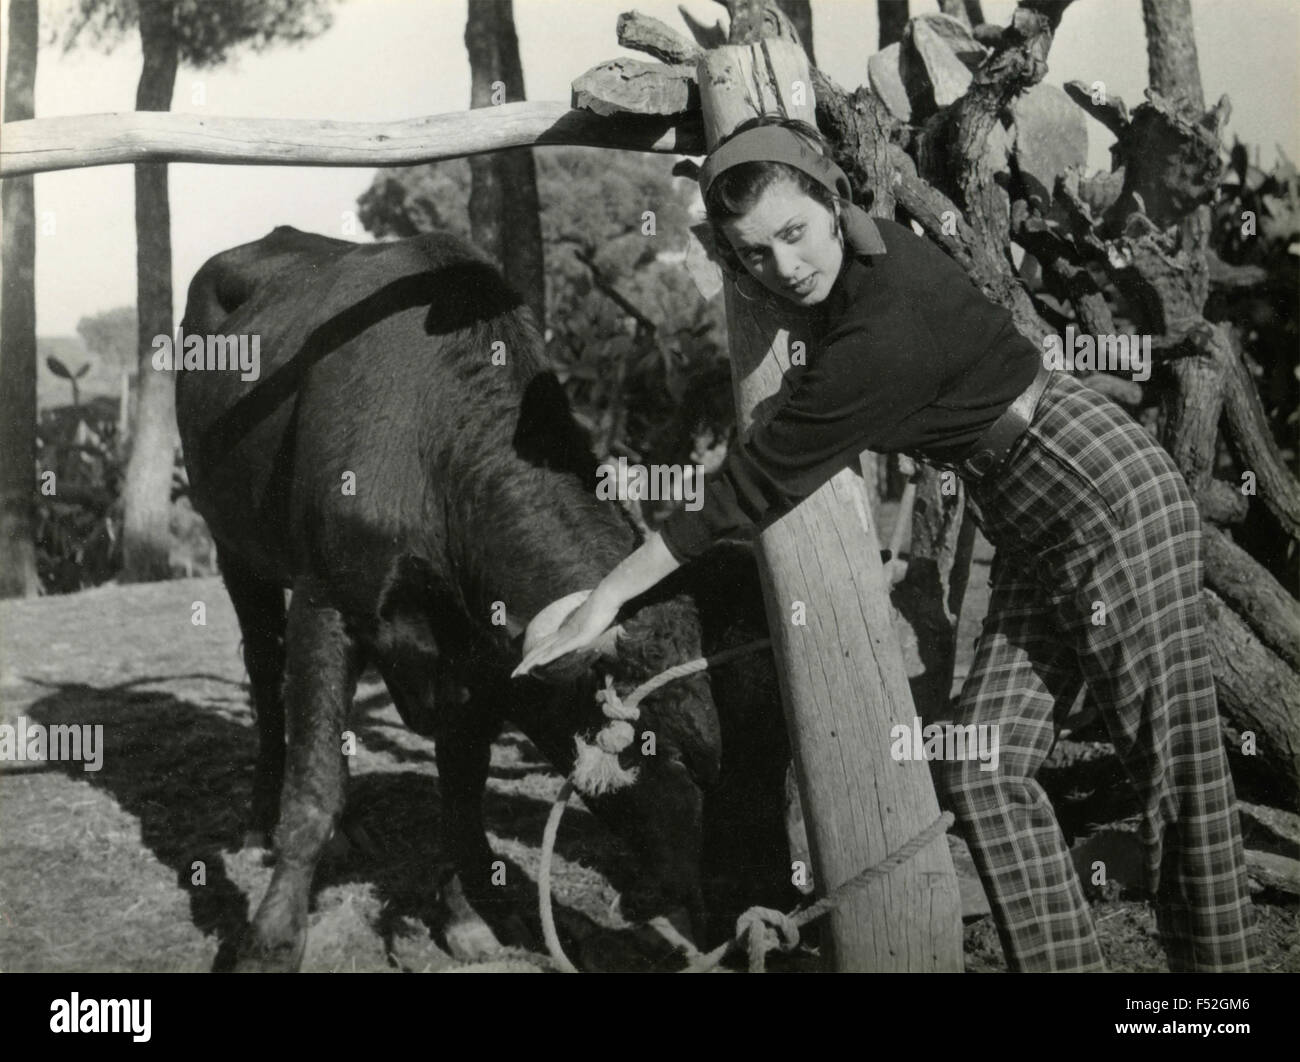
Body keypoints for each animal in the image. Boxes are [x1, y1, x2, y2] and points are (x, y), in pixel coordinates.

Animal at [179, 226, 795, 967]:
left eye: (783, 758)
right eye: (679, 755)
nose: (764, 917)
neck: (434, 450)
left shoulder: (475, 653)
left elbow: (462, 779)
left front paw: (466, 913)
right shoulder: (326, 601)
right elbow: (314, 785)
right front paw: (271, 938)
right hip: (234, 548)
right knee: (267, 678)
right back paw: (258, 817)